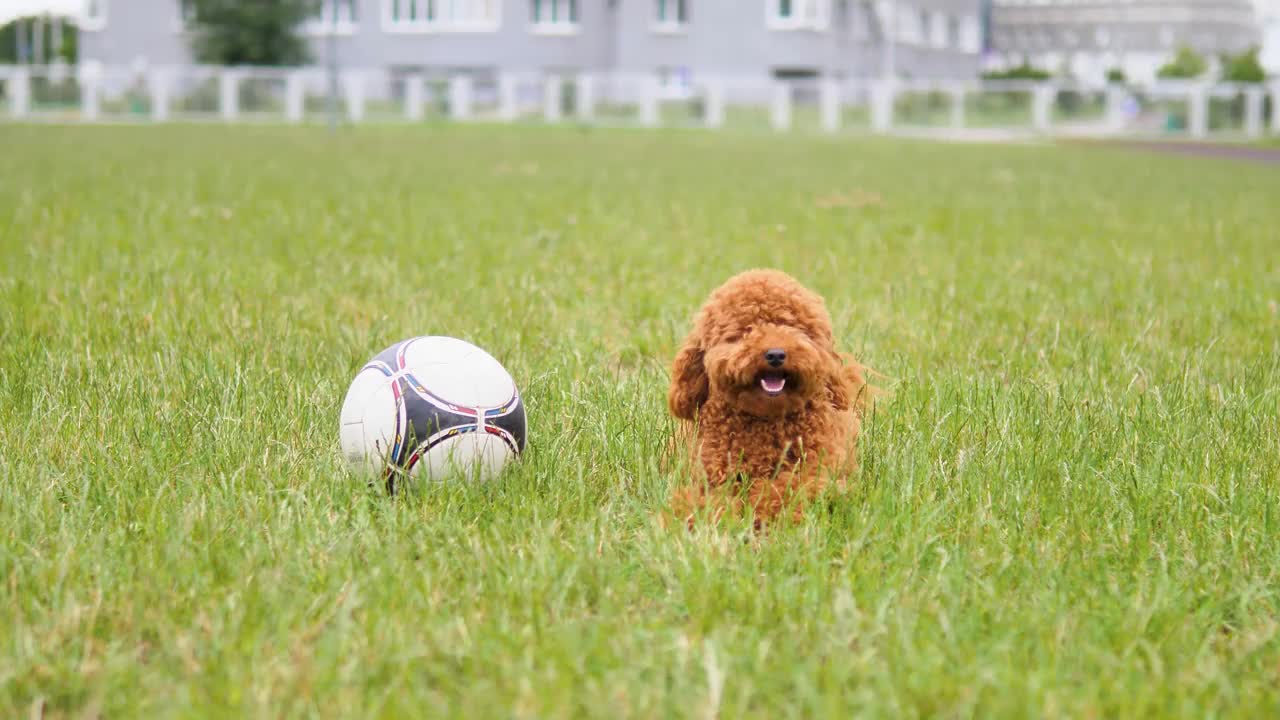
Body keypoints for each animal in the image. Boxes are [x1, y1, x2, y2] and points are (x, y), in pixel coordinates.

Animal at [665, 269, 875, 527]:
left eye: (792, 327)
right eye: (746, 329)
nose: (775, 354)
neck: (766, 419)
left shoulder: (818, 471)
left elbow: (786, 490)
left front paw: (764, 514)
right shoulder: (711, 474)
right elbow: (705, 499)